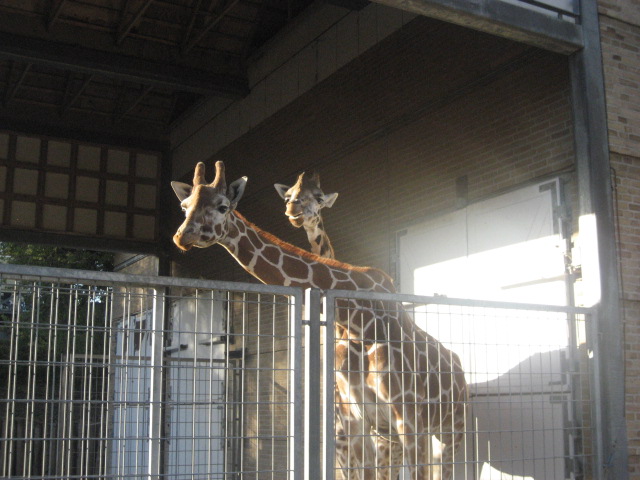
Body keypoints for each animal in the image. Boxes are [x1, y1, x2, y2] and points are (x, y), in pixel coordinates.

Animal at [172, 161, 467, 479]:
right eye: (184, 206)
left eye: (223, 206)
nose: (182, 236)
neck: (358, 320)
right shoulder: (358, 421)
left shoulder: (409, 418)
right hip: (393, 434)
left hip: (451, 430)